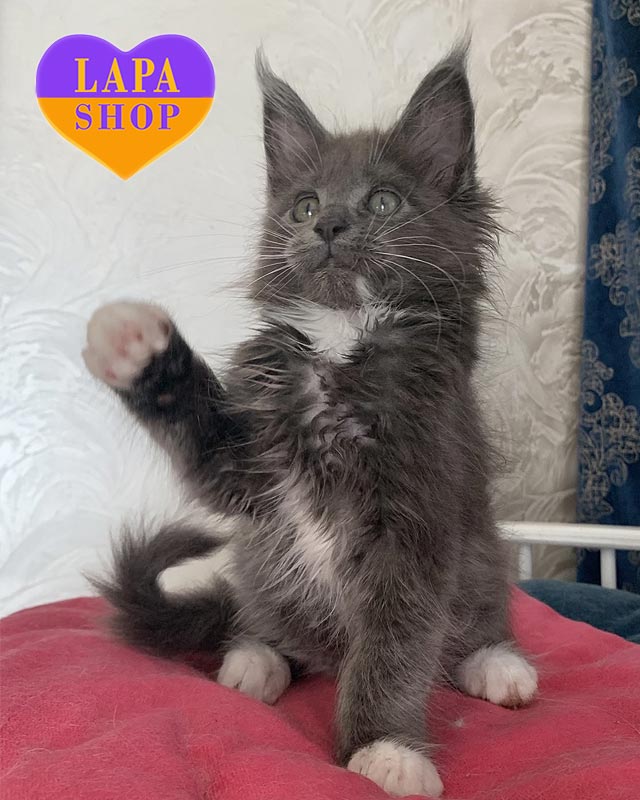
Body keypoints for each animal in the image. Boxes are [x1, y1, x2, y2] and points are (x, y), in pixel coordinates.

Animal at [83, 44, 538, 798]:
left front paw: (382, 747)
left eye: (382, 201)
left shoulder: (417, 517)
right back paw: (255, 656)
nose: (326, 227)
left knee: (469, 626)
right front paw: (139, 349)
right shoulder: (250, 470)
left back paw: (496, 663)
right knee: (269, 627)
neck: (338, 349)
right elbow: (204, 442)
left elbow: (393, 649)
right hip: (262, 565)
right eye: (304, 205)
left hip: (479, 557)